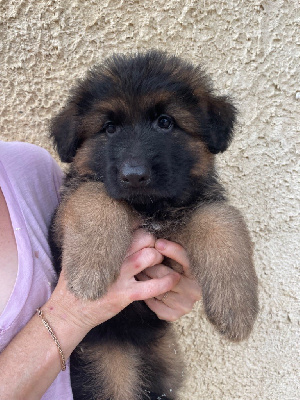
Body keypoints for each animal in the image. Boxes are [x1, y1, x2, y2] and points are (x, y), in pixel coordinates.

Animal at [49, 50, 258, 400]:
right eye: (109, 128)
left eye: (165, 122)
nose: (134, 176)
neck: (148, 207)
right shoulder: (62, 220)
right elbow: (94, 196)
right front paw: (90, 268)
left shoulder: (195, 209)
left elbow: (222, 219)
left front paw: (236, 306)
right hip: (111, 370)